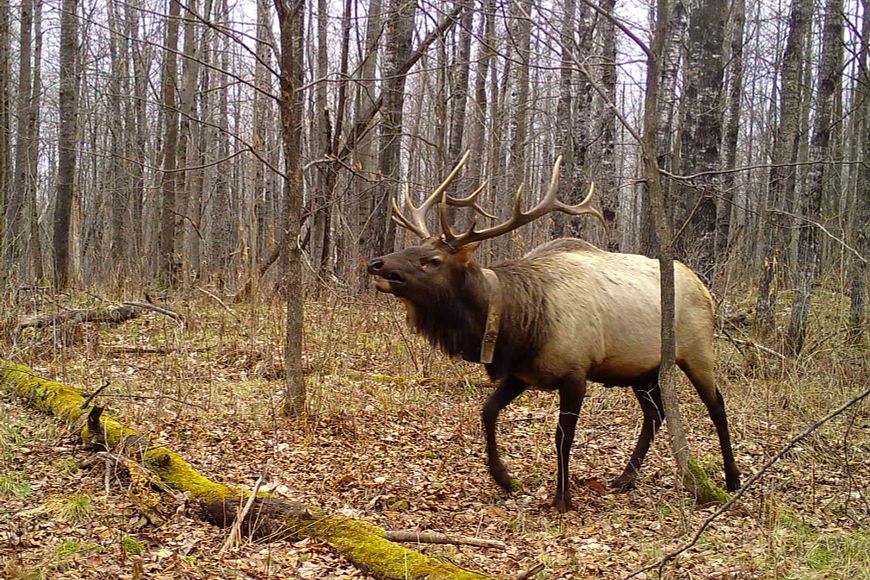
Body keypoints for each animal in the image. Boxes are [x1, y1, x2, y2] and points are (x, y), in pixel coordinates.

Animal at [366, 153, 741, 511]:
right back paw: (625, 478)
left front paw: (563, 498)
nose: (375, 264)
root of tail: (705, 289)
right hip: (642, 370)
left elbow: (563, 436)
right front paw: (505, 478)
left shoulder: (576, 372)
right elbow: (487, 411)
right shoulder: (520, 373)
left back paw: (732, 479)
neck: (517, 326)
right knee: (655, 413)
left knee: (717, 407)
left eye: (432, 260)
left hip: (697, 352)